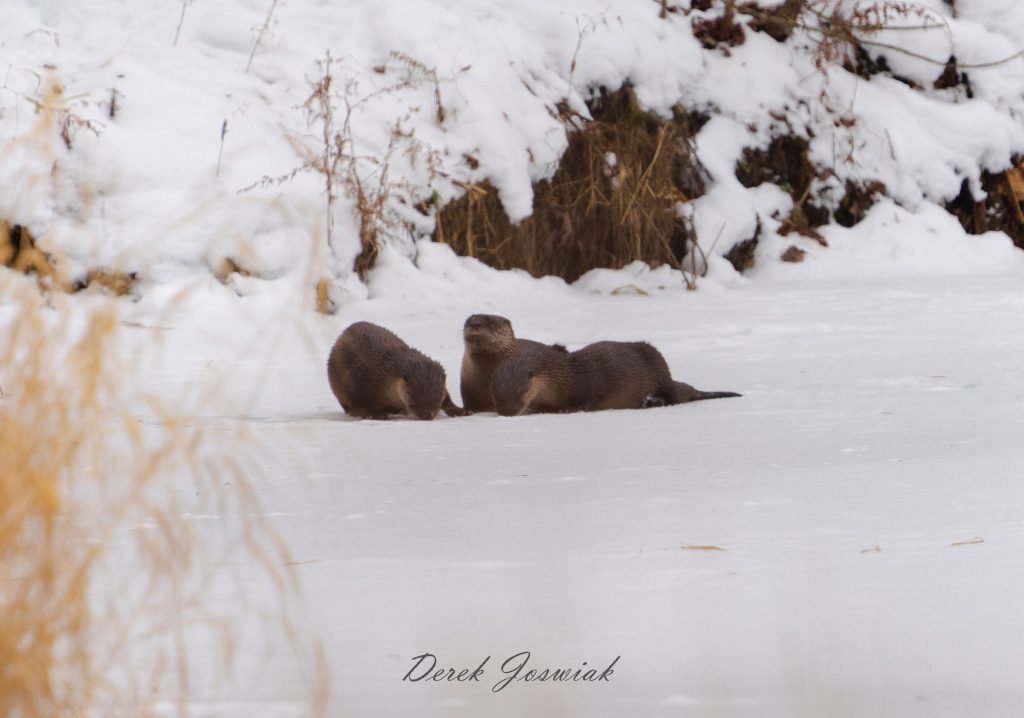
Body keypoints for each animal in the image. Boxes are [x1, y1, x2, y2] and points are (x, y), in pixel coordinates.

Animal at [327, 322, 467, 420]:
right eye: (411, 398)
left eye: (438, 398)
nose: (427, 415)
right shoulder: (361, 383)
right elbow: (360, 405)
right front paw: (375, 415)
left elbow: (448, 398)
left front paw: (461, 411)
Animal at [491, 340, 740, 416]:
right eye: (496, 395)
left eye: (521, 392)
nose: (506, 412)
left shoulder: (588, 382)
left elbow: (589, 399)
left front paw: (566, 409)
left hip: (659, 367)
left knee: (670, 396)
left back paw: (651, 401)